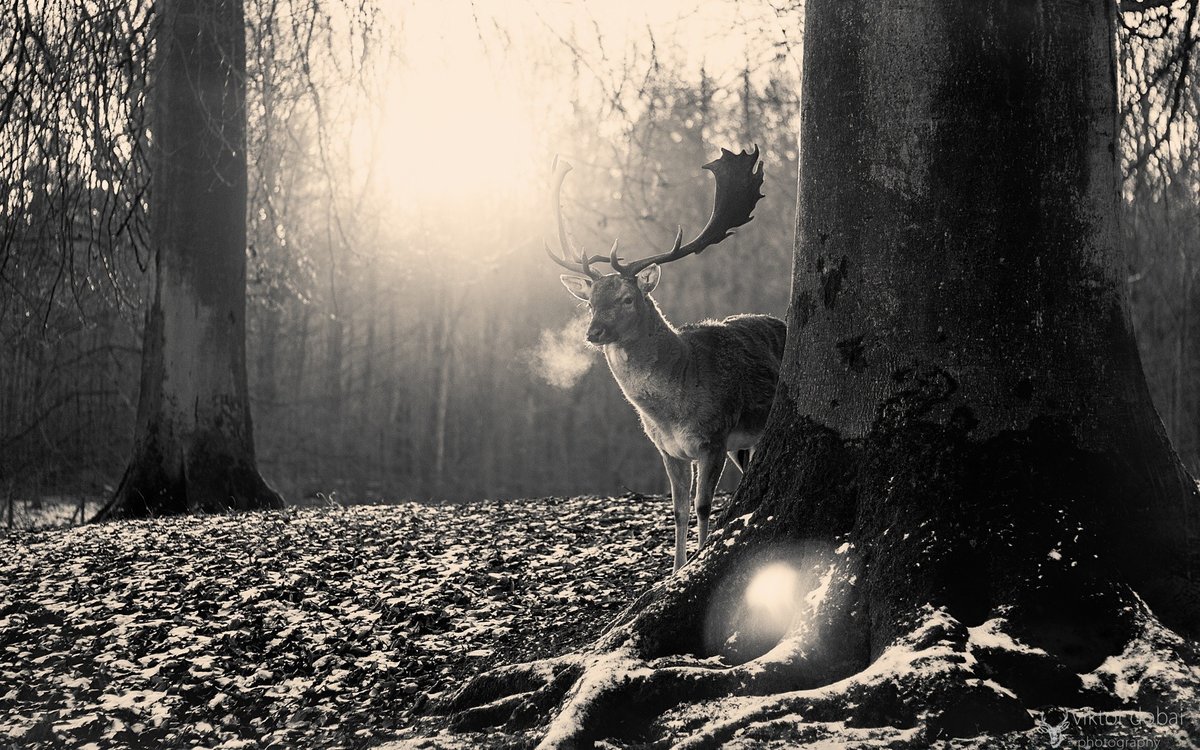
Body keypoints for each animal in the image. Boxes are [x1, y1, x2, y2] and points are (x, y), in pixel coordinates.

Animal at [546, 147, 786, 573]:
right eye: (590, 303)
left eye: (628, 298)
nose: (594, 333)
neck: (671, 409)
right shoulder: (667, 450)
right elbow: (678, 510)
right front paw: (673, 571)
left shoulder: (713, 437)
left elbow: (704, 505)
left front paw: (698, 559)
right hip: (744, 443)